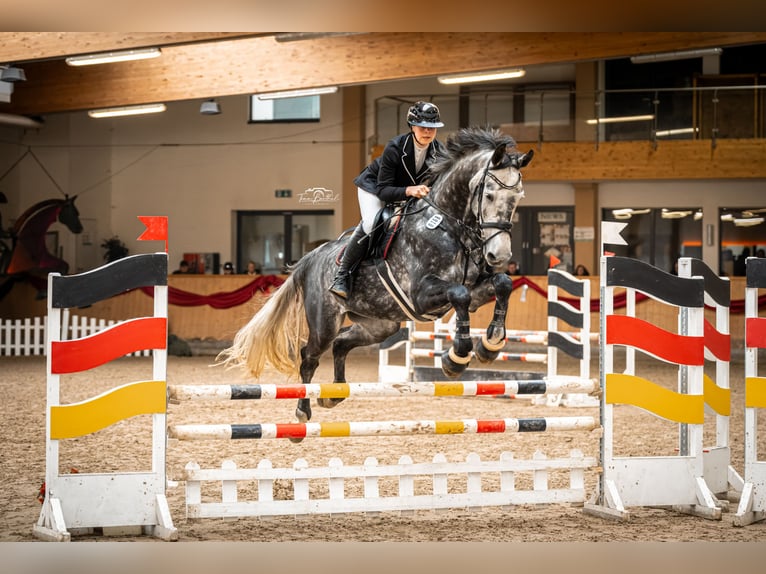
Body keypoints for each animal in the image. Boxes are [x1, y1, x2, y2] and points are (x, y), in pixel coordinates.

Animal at [216, 129, 536, 428]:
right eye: (489, 194)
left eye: (517, 198)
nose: (499, 255)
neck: (448, 226)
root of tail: (310, 259)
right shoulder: (422, 295)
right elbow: (460, 294)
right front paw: (456, 359)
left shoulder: (475, 288)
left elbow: (502, 285)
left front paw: (489, 346)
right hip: (325, 321)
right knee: (310, 355)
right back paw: (303, 411)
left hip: (380, 324)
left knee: (341, 344)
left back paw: (333, 396)